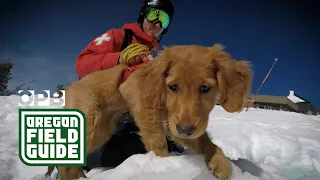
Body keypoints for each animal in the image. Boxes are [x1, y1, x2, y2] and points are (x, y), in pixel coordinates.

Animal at [57, 44, 252, 180]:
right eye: (173, 87)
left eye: (205, 88)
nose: (185, 130)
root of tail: (70, 87)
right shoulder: (146, 109)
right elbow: (158, 143)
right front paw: (164, 167)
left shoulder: (175, 123)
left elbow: (205, 140)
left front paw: (220, 163)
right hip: (89, 120)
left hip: (100, 131)